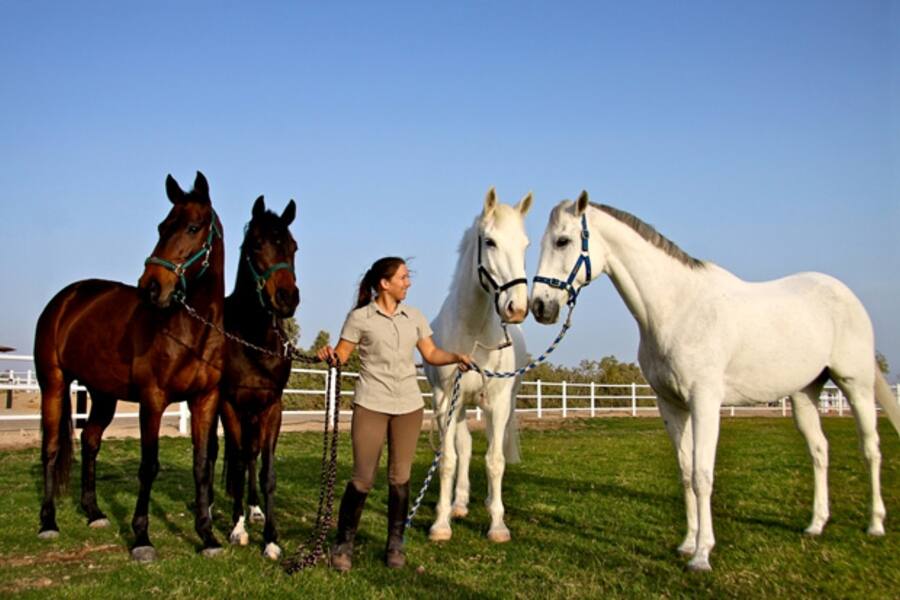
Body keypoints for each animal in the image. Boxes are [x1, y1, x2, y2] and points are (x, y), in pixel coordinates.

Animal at [34, 171, 226, 561]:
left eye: (193, 227)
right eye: (162, 226)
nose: (151, 286)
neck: (191, 330)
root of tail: (66, 299)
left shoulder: (205, 400)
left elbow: (202, 465)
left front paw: (208, 536)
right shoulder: (152, 400)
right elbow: (148, 466)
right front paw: (142, 538)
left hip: (103, 395)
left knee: (90, 442)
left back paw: (94, 513)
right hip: (54, 384)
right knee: (52, 449)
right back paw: (48, 522)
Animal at [425, 187, 531, 543]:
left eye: (525, 244)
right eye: (490, 242)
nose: (517, 308)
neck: (472, 331)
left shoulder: (496, 403)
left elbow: (495, 461)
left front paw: (497, 525)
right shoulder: (445, 401)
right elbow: (449, 460)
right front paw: (441, 523)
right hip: (459, 406)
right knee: (465, 447)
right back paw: (458, 504)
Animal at [531, 191, 900, 571]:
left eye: (563, 241)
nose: (540, 307)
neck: (677, 310)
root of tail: (846, 295)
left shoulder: (705, 402)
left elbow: (702, 474)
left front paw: (702, 554)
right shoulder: (671, 405)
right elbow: (685, 473)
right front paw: (687, 544)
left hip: (855, 385)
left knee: (871, 449)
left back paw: (875, 524)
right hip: (804, 394)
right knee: (819, 450)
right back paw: (816, 524)